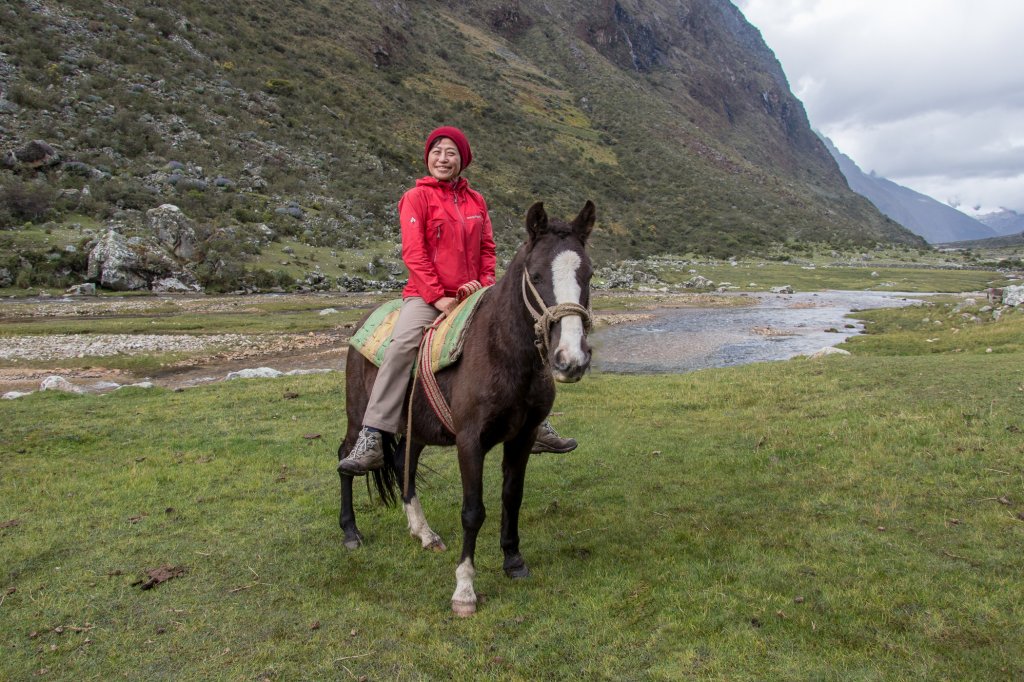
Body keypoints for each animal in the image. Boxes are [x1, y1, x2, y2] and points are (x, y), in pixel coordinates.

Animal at [337, 199, 593, 614]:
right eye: (536, 275)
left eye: (589, 274)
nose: (571, 359)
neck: (499, 350)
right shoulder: (469, 442)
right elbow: (473, 512)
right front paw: (464, 590)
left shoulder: (522, 437)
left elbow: (512, 497)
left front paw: (513, 561)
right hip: (358, 415)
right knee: (346, 457)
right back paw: (350, 531)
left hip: (415, 428)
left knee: (403, 464)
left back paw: (424, 534)